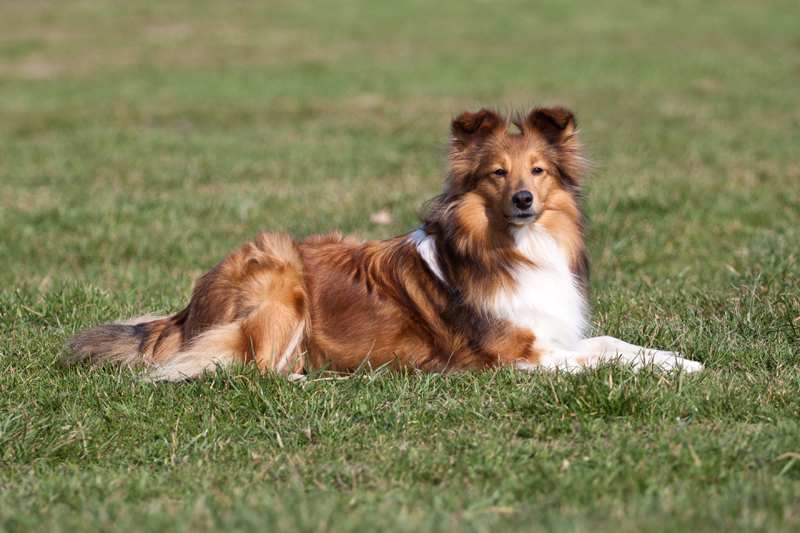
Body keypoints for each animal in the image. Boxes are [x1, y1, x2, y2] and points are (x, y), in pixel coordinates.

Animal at [70, 106, 708, 378]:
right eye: (497, 174)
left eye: (539, 171)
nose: (525, 200)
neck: (511, 247)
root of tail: (187, 307)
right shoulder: (514, 353)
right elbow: (595, 358)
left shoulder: (550, 331)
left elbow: (612, 343)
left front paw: (681, 362)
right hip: (279, 270)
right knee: (252, 366)